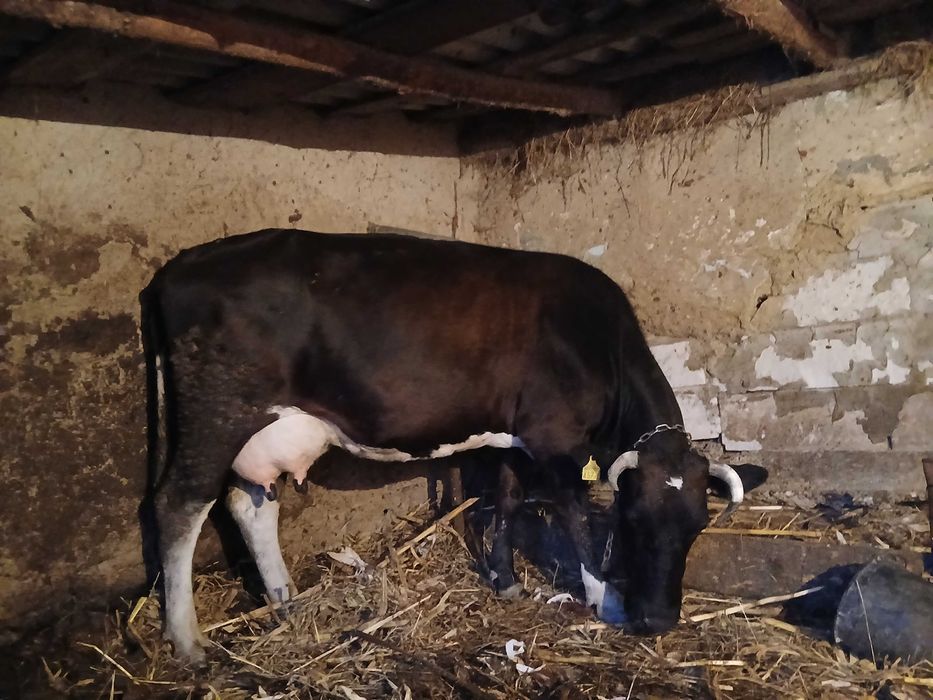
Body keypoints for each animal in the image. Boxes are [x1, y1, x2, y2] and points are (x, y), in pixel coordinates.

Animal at [140, 228, 744, 662]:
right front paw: (605, 598)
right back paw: (187, 641)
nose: (660, 620)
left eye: (698, 524)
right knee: (178, 504)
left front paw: (505, 581)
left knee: (249, 505)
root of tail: (181, 265)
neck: (597, 338)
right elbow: (573, 512)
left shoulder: (513, 435)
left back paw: (286, 601)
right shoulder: (556, 435)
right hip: (216, 412)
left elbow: (505, 500)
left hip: (262, 429)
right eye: (633, 519)